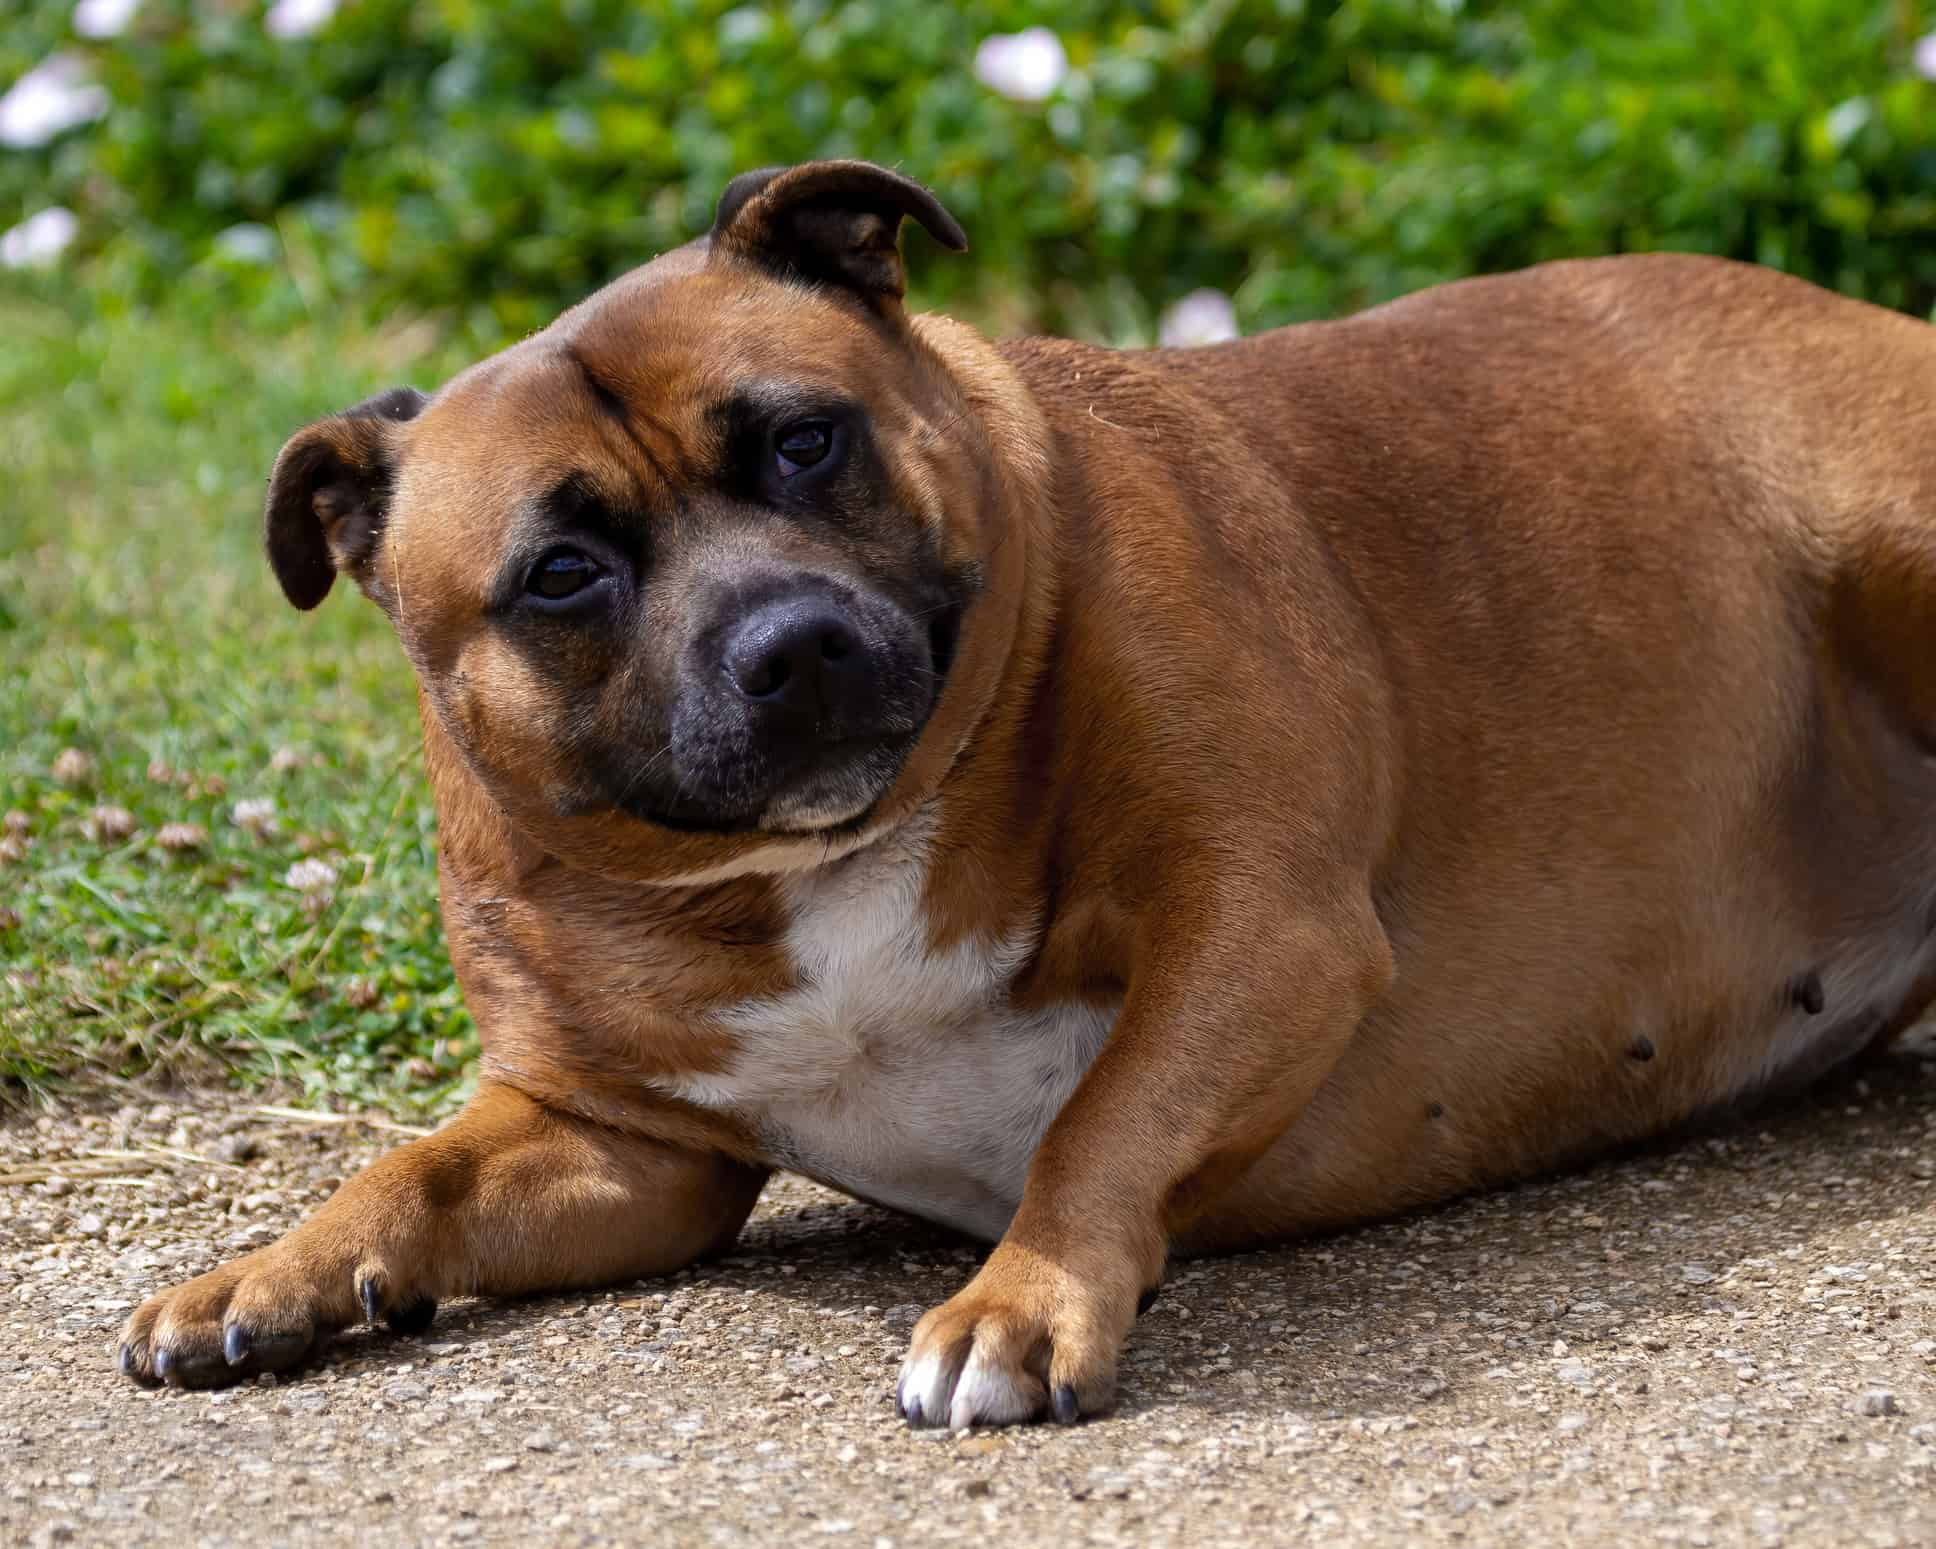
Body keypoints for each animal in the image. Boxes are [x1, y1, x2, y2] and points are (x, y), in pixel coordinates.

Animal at [117, 160, 1936, 1425]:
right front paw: (267, 1269)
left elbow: (1105, 1113)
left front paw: (1018, 1300)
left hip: (1885, 543)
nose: (788, 643)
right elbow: (412, 1173)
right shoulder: (620, 1143)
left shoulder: (1261, 931)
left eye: (804, 440)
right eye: (560, 571)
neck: (818, 865)